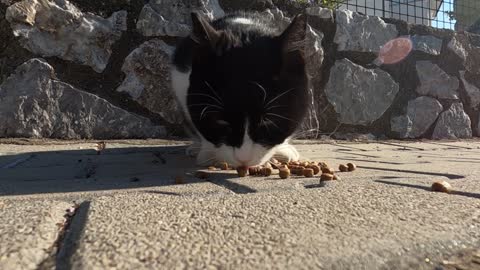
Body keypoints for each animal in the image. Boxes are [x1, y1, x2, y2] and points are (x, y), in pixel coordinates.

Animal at [171, 12, 310, 167]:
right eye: (220, 120)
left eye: (268, 120)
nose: (243, 158)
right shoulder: (179, 76)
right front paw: (208, 153)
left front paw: (283, 150)